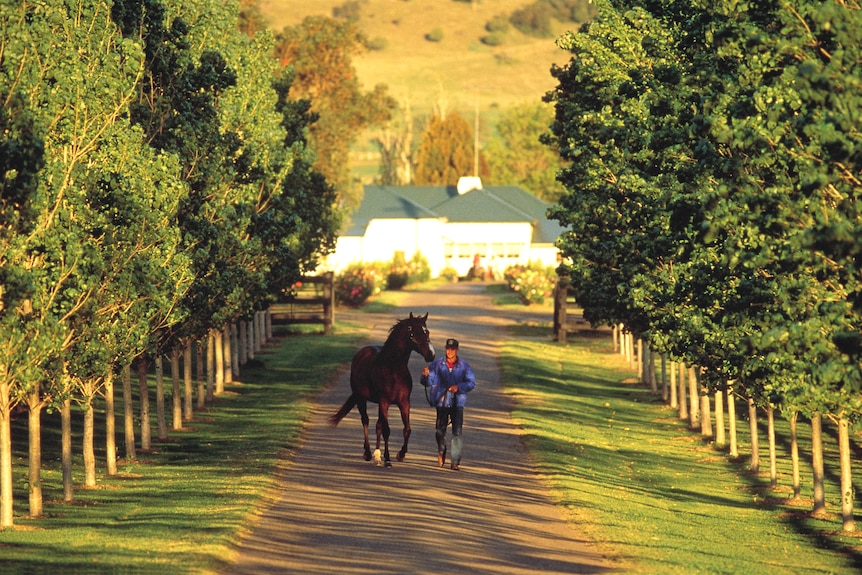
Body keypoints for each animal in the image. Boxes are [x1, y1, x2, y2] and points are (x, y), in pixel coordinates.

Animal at [330, 312, 438, 466]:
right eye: (413, 333)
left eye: (427, 331)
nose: (431, 354)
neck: (393, 370)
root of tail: (360, 354)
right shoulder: (385, 402)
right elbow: (387, 430)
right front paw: (387, 459)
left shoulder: (404, 403)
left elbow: (407, 429)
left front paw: (400, 454)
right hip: (361, 399)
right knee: (366, 421)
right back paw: (368, 453)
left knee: (378, 425)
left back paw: (376, 455)